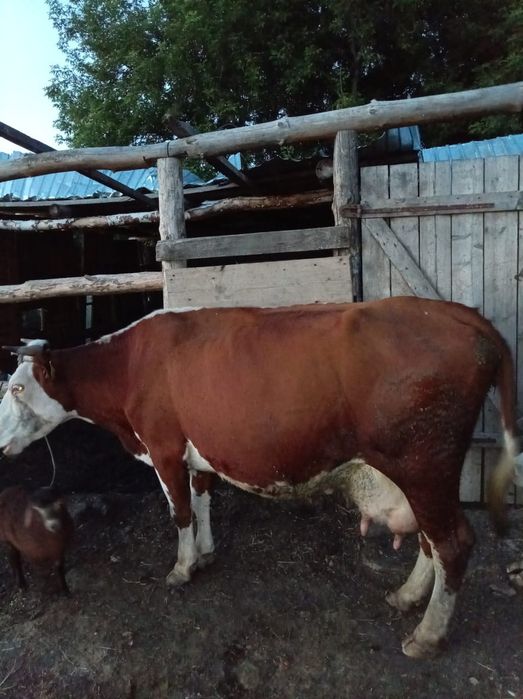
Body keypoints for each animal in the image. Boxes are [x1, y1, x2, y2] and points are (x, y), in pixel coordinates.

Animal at [0, 296, 520, 658]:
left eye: (18, 387)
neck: (129, 366)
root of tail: (459, 314)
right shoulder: (198, 451)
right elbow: (203, 500)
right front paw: (206, 554)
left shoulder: (164, 447)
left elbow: (180, 512)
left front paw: (182, 568)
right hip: (426, 472)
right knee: (432, 539)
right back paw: (407, 596)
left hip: (424, 464)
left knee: (452, 542)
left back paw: (427, 635)